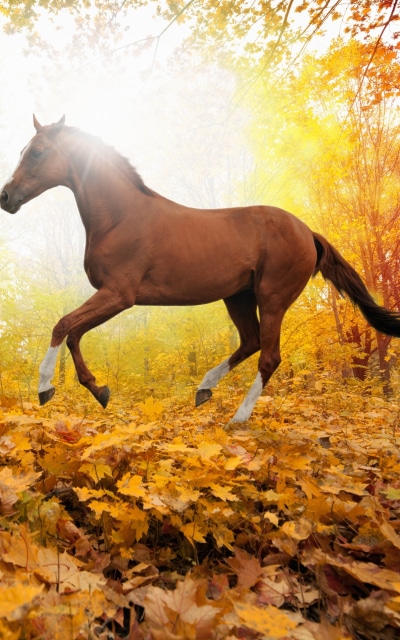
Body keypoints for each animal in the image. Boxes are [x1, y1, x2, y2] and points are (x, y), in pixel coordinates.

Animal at [2, 116, 400, 423]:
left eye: (36, 152)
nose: (6, 197)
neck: (121, 216)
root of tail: (308, 232)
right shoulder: (111, 296)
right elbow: (73, 333)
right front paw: (99, 390)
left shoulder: (119, 295)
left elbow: (63, 326)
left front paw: (45, 388)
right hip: (238, 298)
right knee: (251, 342)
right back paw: (204, 389)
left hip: (272, 299)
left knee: (269, 356)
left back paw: (237, 418)